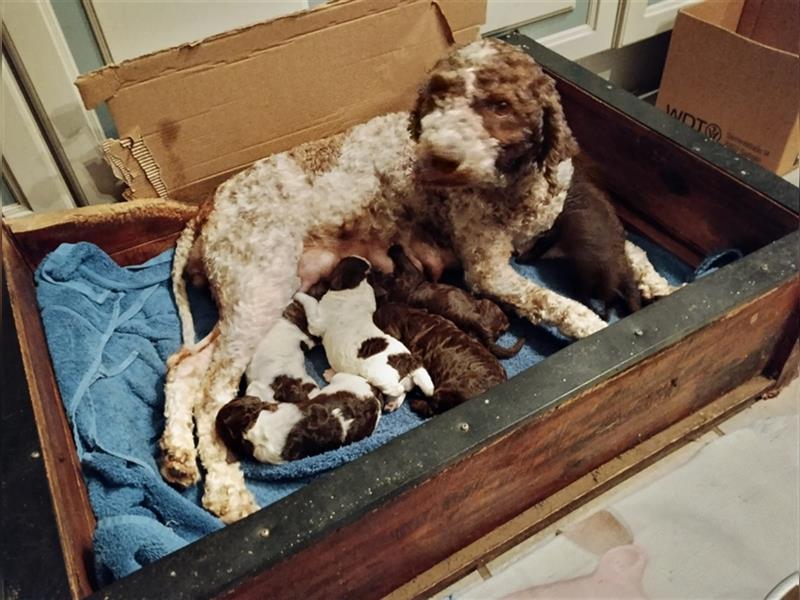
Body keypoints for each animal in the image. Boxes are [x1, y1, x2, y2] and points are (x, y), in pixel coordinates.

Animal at [294, 255, 434, 410]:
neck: (358, 287)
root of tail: (412, 362)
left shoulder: (316, 322)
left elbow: (310, 302)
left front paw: (298, 294)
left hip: (378, 375)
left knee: (397, 389)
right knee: (403, 393)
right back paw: (392, 403)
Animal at [370, 244, 520, 356]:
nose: (374, 270)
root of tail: (480, 325)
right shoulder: (411, 274)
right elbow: (402, 258)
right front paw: (394, 248)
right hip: (489, 306)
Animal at [372, 300, 504, 418]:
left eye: (377, 317)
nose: (374, 311)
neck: (413, 317)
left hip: (447, 389)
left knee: (432, 408)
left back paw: (416, 403)